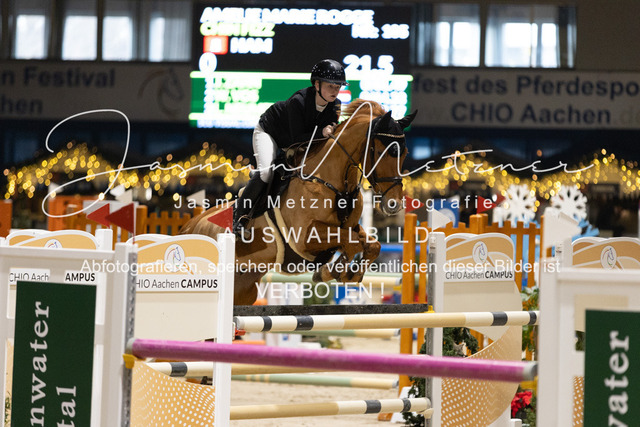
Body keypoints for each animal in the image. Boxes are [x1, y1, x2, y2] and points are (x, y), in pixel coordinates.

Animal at [180, 99, 416, 305]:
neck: (331, 180)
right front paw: (332, 272)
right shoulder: (304, 237)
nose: (394, 204)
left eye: (404, 152)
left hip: (243, 285)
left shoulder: (349, 227)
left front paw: (349, 274)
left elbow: (371, 244)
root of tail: (189, 226)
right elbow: (351, 242)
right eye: (386, 151)